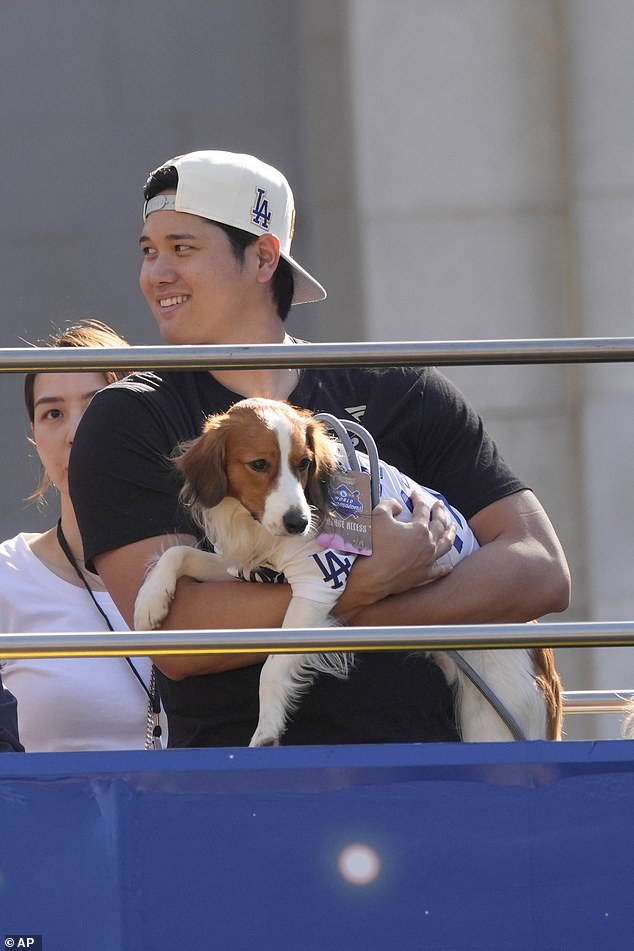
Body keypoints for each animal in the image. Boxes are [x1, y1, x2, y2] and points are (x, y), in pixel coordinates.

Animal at [132, 398, 556, 748]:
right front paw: (150, 601)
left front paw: (267, 729)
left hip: (494, 720)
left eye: (303, 464)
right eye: (259, 464)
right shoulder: (245, 569)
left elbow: (272, 667)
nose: (298, 523)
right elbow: (178, 552)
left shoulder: (318, 584)